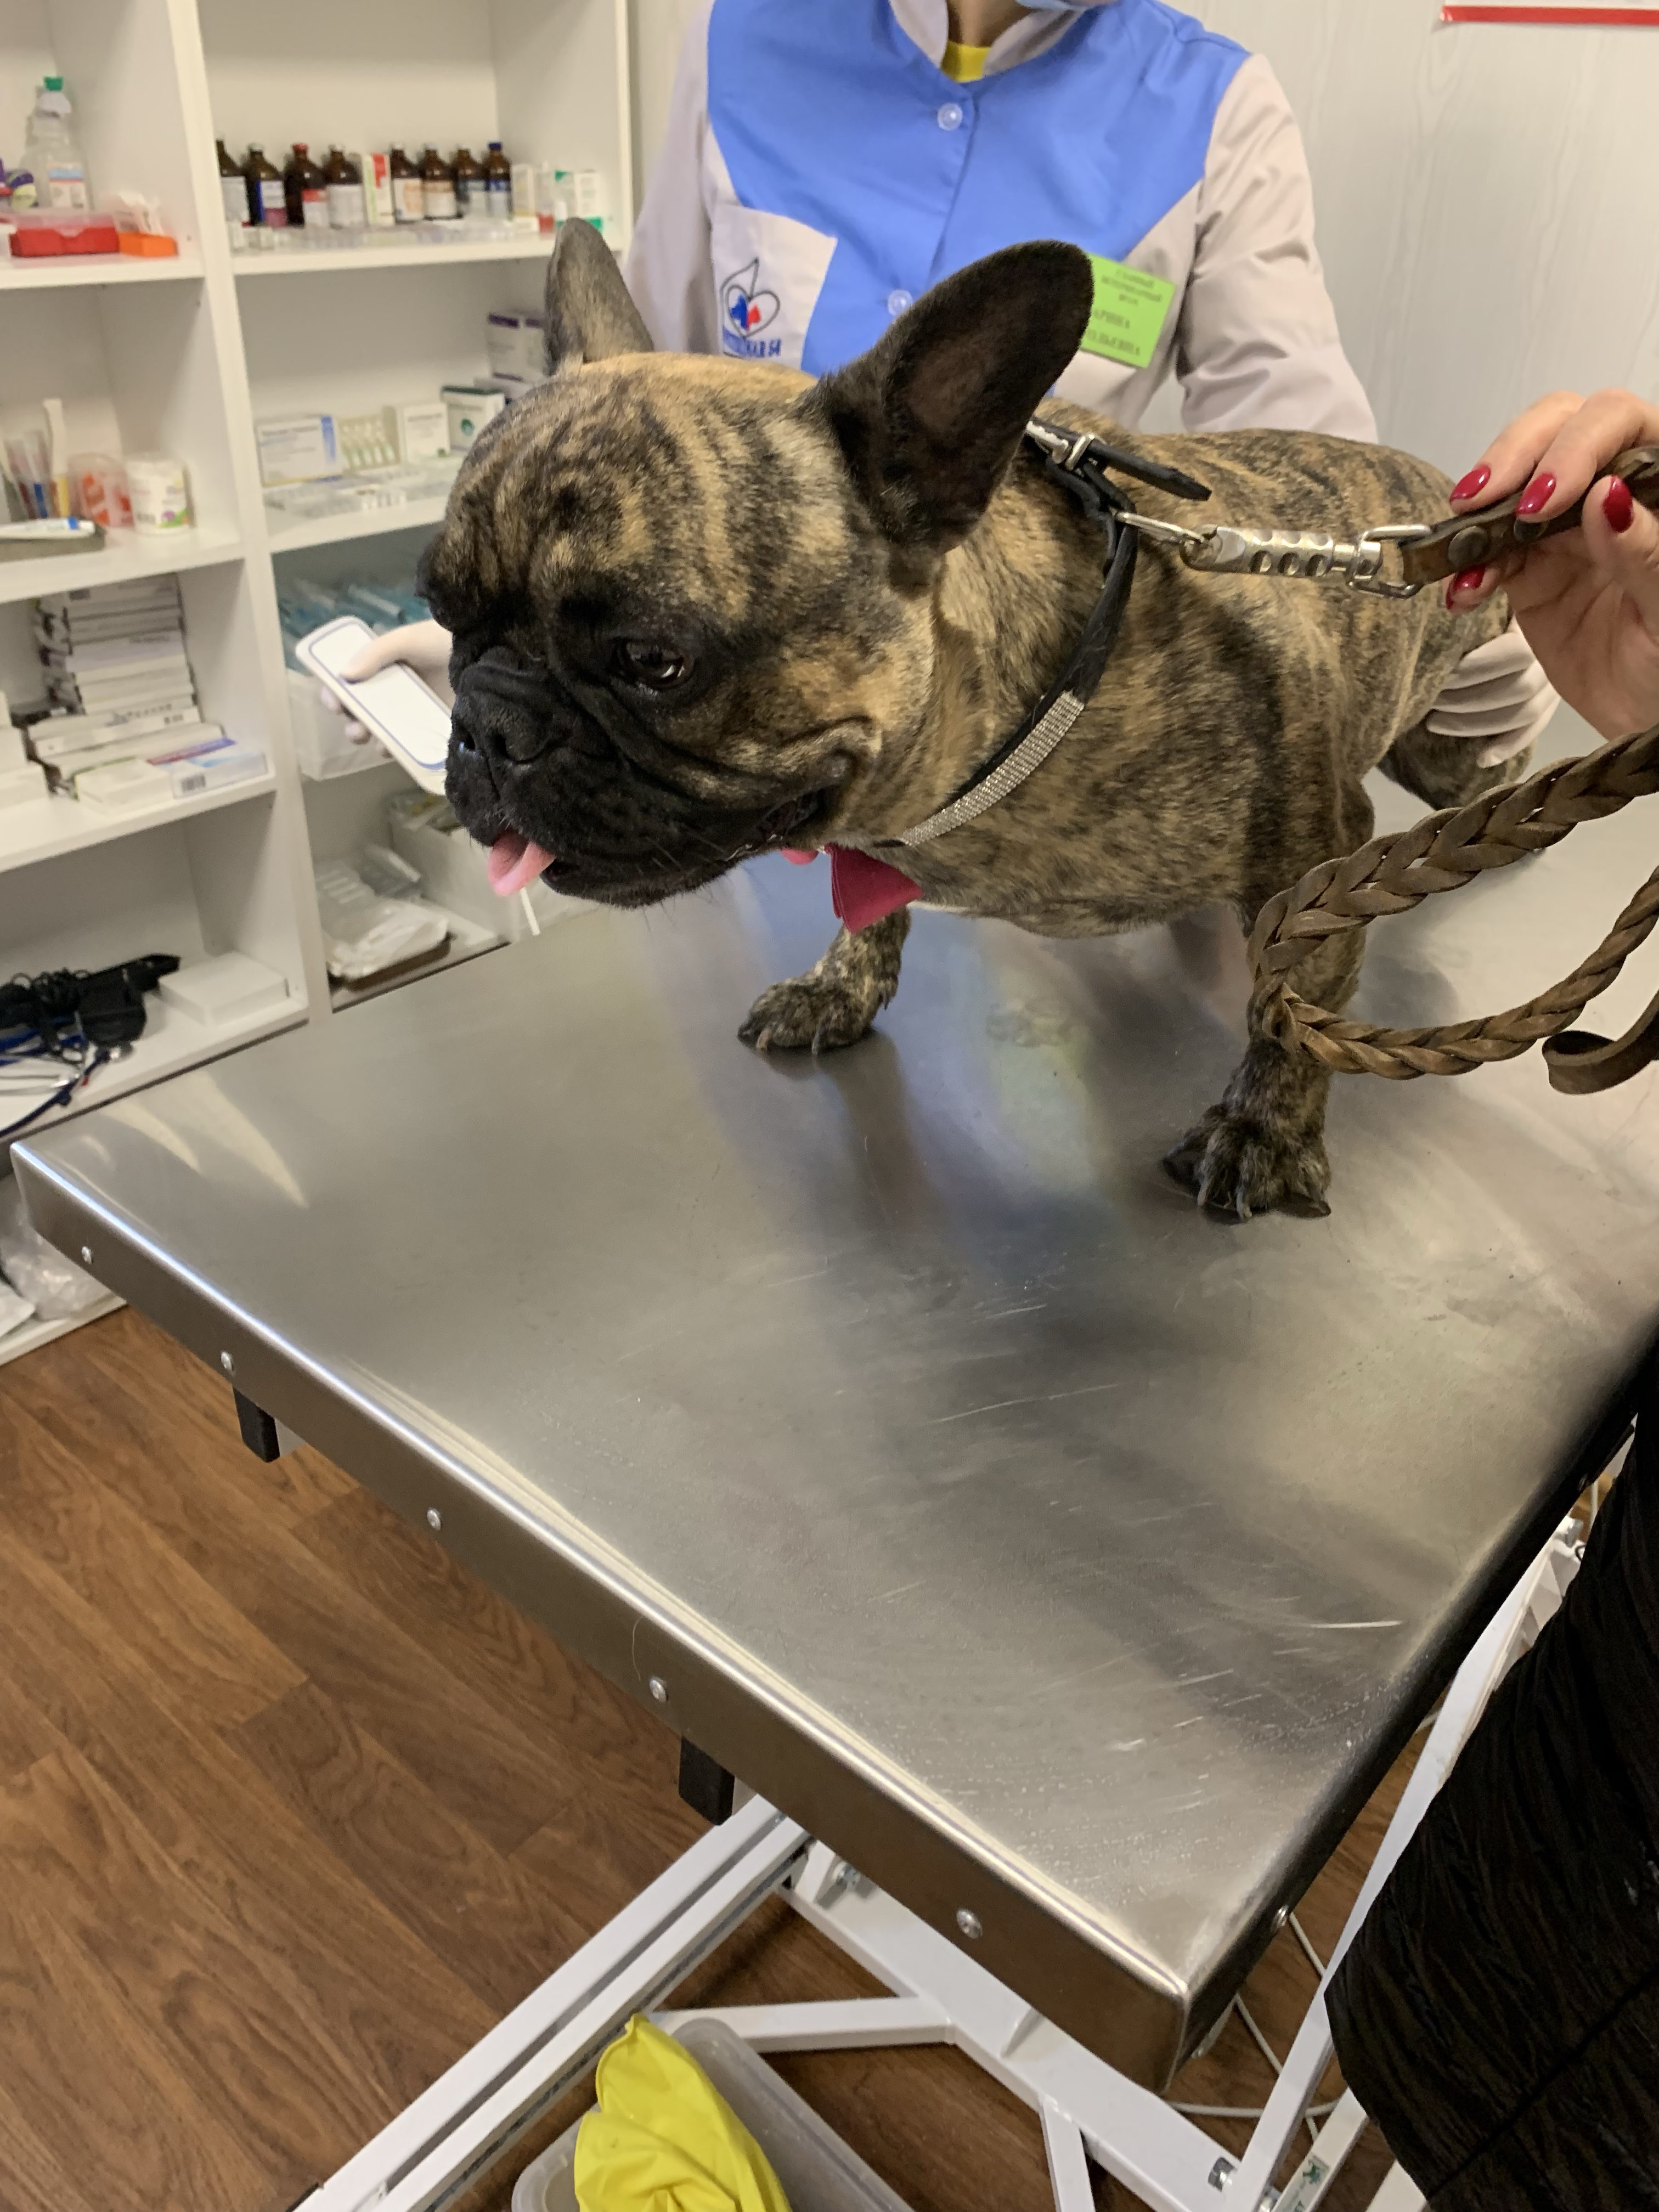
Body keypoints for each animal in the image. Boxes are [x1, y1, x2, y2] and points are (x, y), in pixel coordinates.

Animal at [426, 221, 1511, 1219]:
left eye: (652, 661)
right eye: (442, 615)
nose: (488, 721)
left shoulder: (1313, 863)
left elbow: (1289, 1008)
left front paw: (1263, 1127)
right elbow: (866, 911)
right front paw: (841, 985)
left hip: (1444, 746)